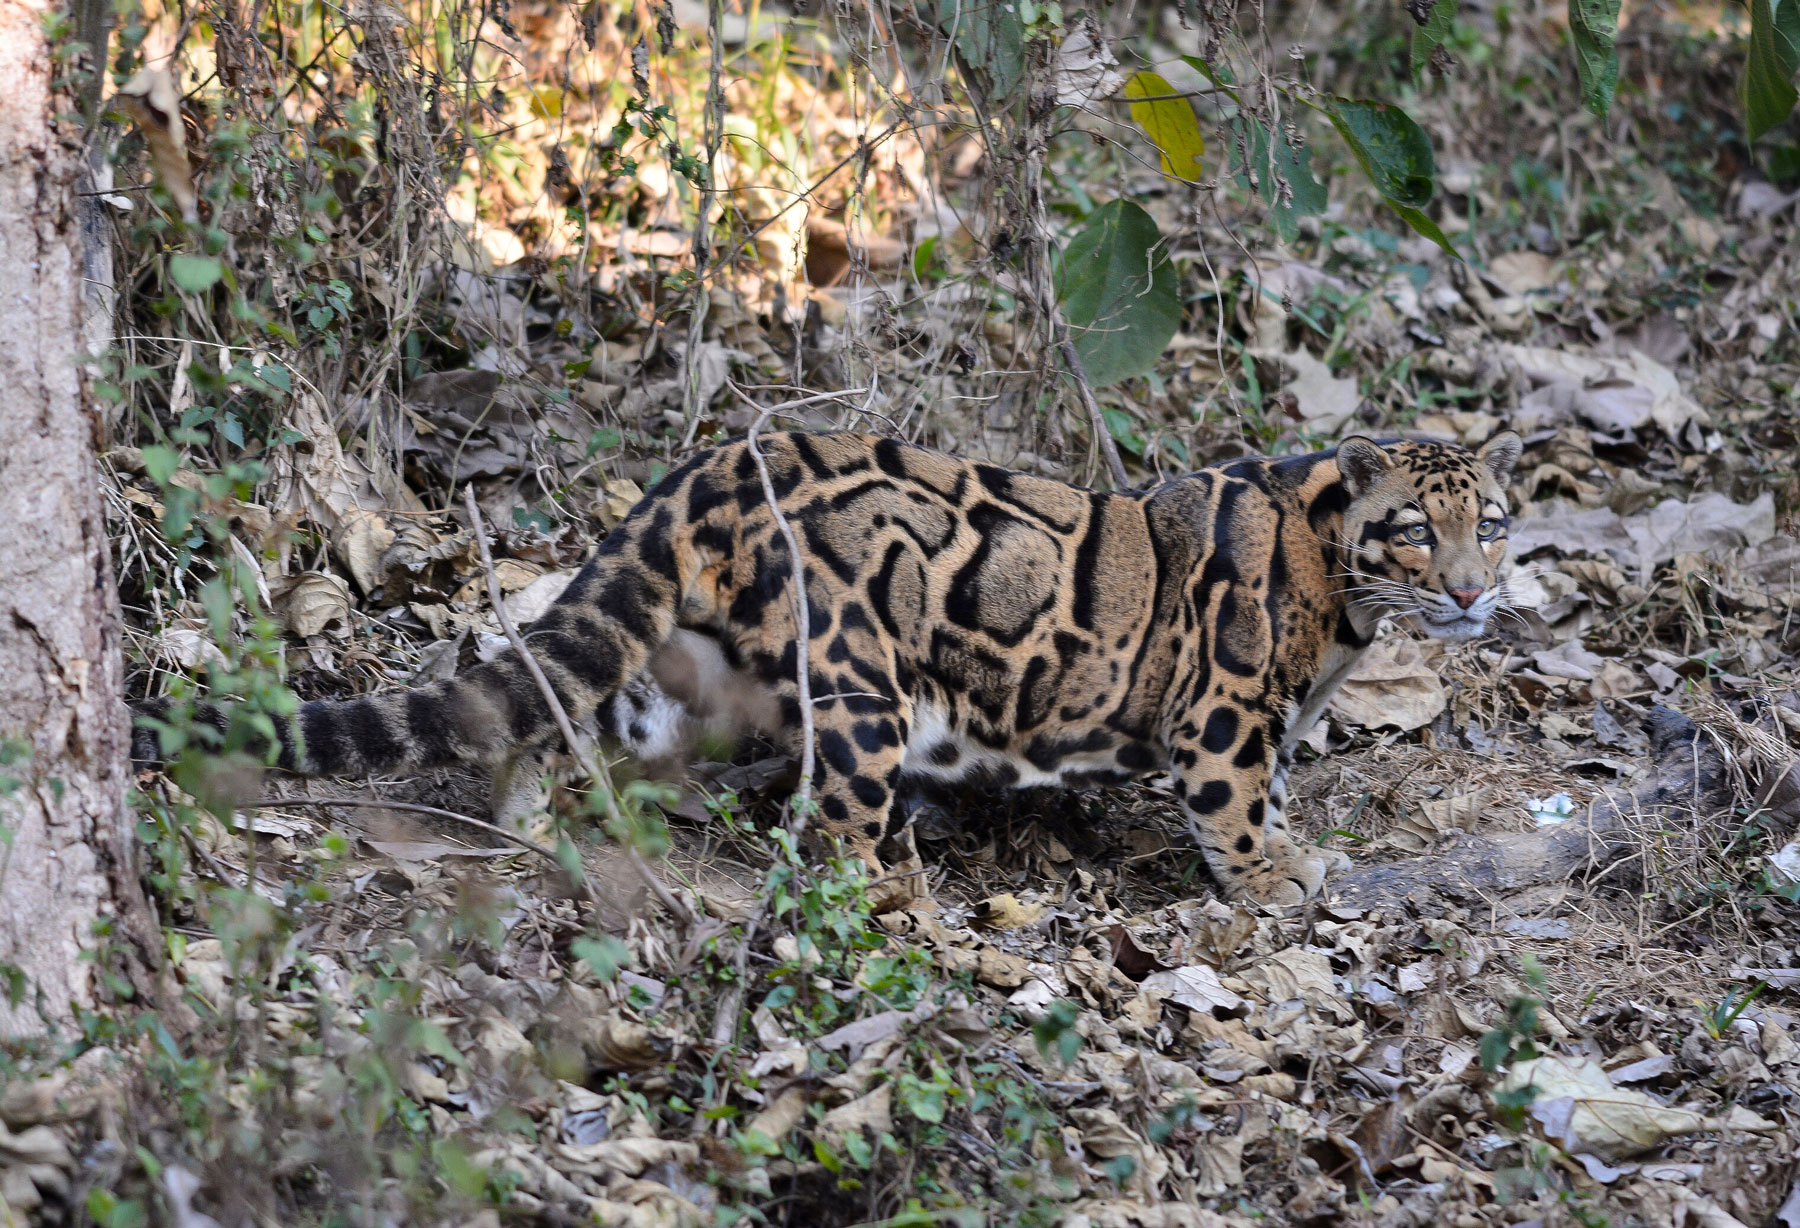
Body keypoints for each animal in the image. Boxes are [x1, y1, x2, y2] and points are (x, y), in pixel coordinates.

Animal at [133, 428, 1522, 905]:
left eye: (1494, 522)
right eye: (1418, 527)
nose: (1472, 589)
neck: (1346, 592)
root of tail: (709, 466)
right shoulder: (1228, 709)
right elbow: (1237, 807)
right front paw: (1272, 879)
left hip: (683, 667)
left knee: (559, 707)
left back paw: (532, 822)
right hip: (861, 680)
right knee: (828, 835)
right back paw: (881, 896)